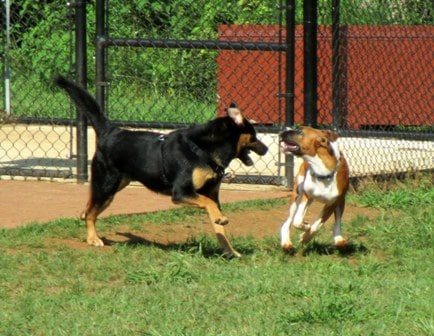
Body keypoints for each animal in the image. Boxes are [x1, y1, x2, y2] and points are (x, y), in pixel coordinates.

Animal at [56, 75, 268, 258]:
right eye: (255, 136)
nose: (266, 149)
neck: (203, 150)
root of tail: (111, 132)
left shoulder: (212, 195)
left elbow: (219, 228)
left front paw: (231, 251)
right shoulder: (181, 193)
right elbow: (208, 205)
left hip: (111, 187)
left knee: (88, 208)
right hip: (107, 185)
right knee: (91, 214)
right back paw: (93, 239)